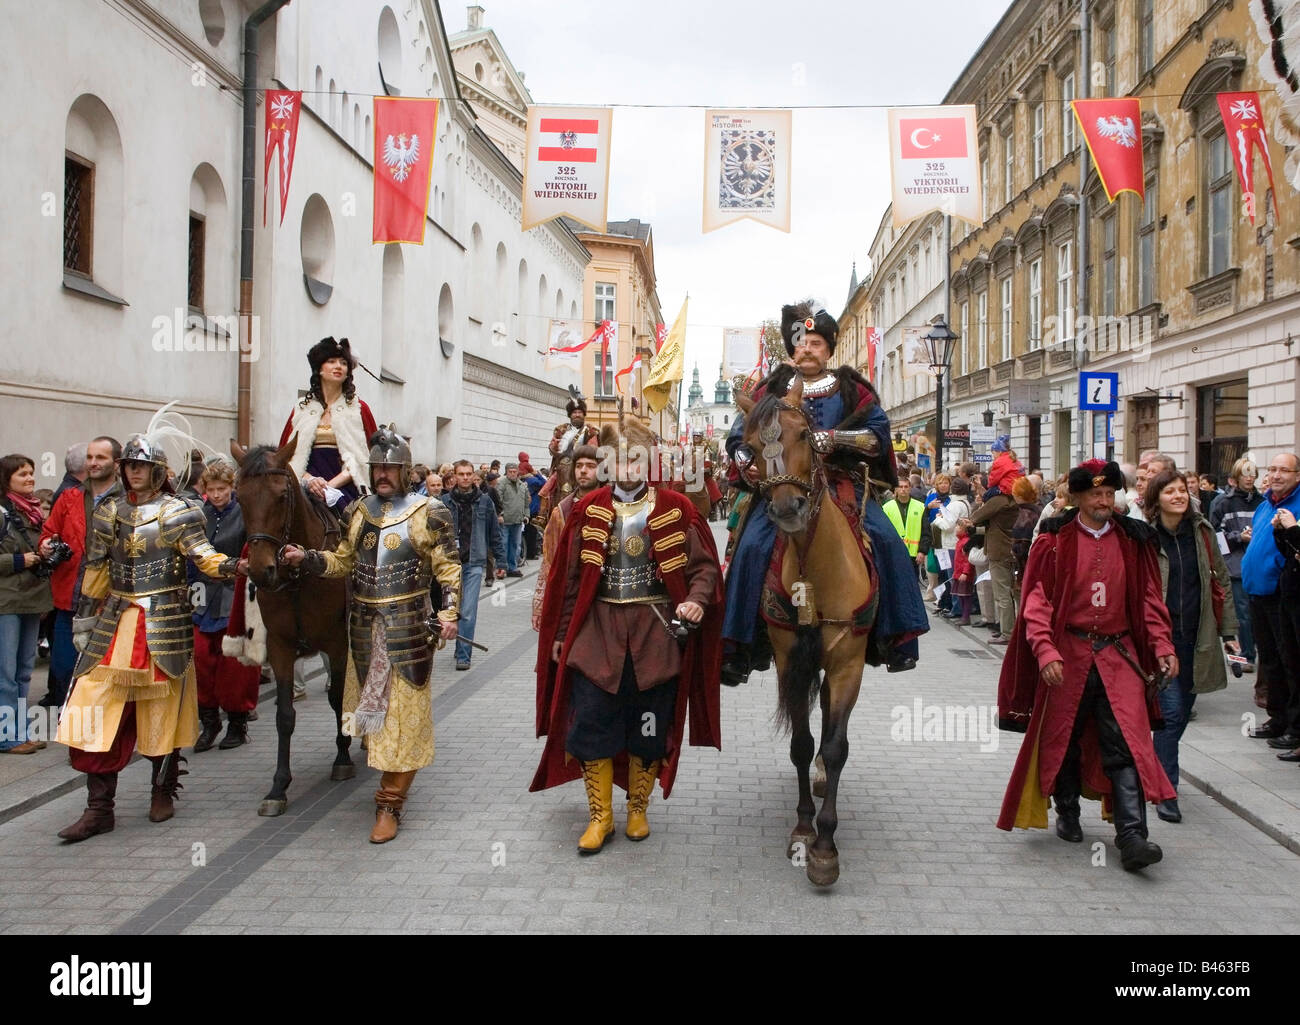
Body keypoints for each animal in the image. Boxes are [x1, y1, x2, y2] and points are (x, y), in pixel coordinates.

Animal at [228, 439, 351, 816]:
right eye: (240, 497)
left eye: (282, 496)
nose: (260, 570)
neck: (300, 576)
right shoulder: (280, 648)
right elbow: (284, 716)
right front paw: (278, 787)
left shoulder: (337, 643)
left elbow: (338, 697)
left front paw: (343, 757)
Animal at [738, 377, 878, 889]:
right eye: (751, 445)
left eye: (804, 435)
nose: (787, 507)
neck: (815, 572)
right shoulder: (790, 662)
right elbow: (801, 744)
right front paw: (803, 828)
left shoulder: (847, 664)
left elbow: (835, 748)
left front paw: (825, 847)